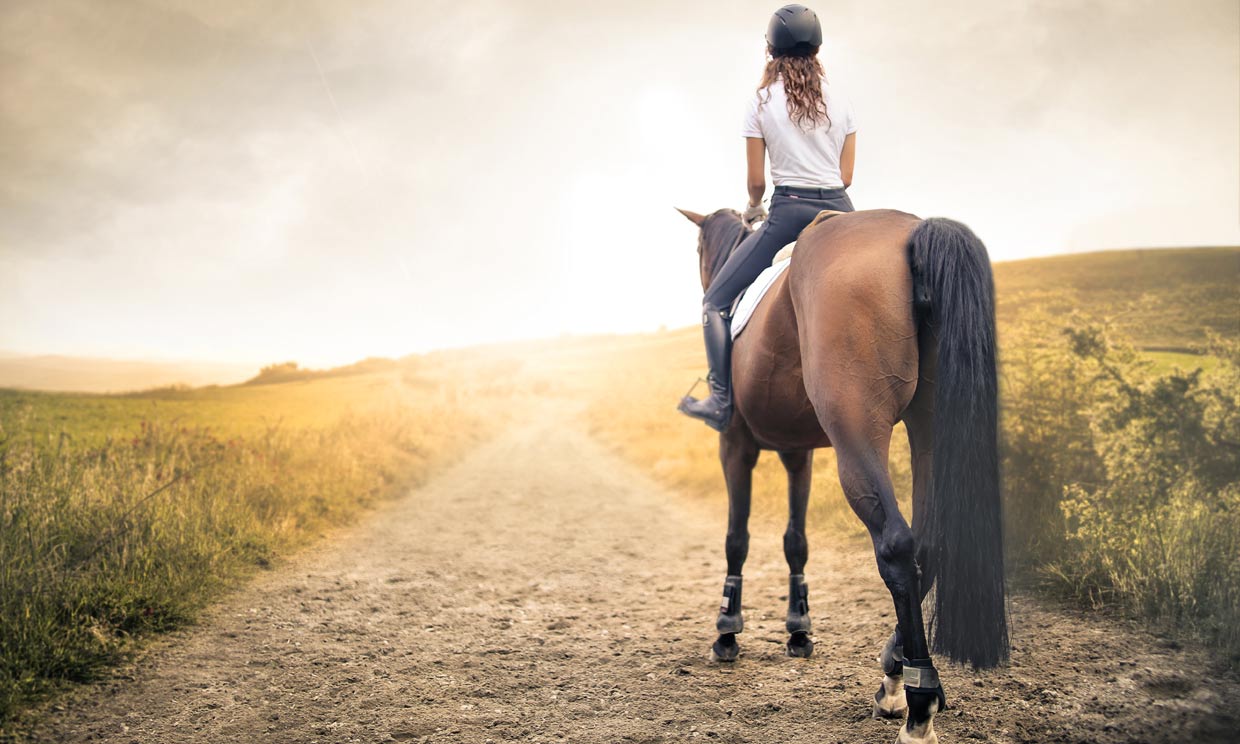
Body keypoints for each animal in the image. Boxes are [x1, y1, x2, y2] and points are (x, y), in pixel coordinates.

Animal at [679, 204, 1006, 744]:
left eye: (700, 248)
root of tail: (913, 231)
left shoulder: (736, 446)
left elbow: (736, 538)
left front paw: (727, 630)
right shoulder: (798, 453)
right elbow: (795, 540)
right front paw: (798, 627)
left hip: (857, 429)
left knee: (896, 545)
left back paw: (916, 703)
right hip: (929, 422)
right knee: (931, 543)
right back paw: (895, 674)